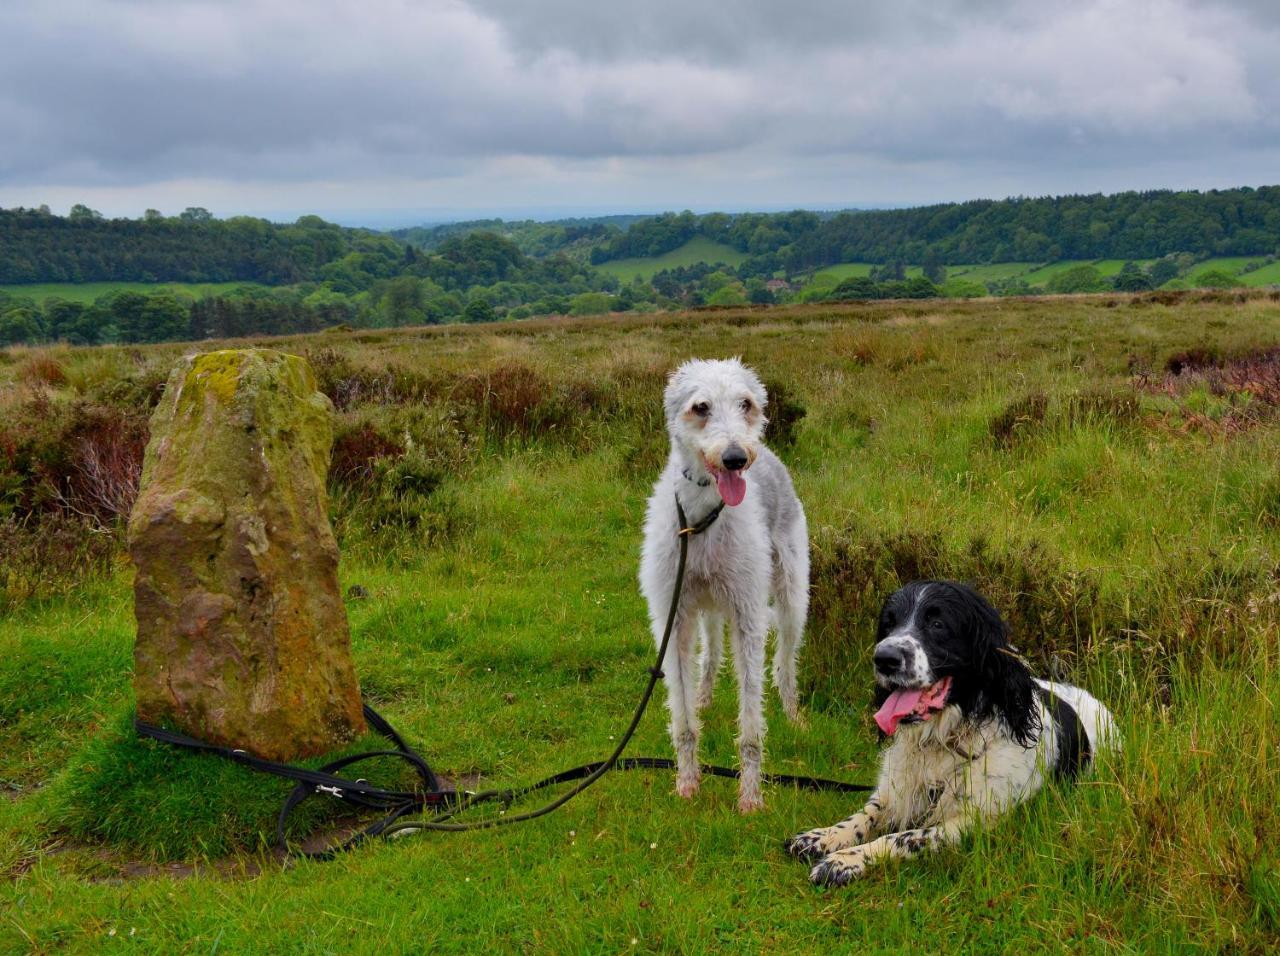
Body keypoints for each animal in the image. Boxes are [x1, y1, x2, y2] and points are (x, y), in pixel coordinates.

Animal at [640, 358, 808, 813]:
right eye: (700, 407)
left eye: (746, 403)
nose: (736, 458)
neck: (701, 521)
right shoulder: (674, 618)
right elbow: (683, 721)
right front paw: (687, 783)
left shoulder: (748, 617)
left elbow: (751, 726)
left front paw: (750, 796)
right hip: (707, 608)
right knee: (711, 654)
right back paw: (703, 696)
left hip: (791, 599)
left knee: (785, 663)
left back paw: (793, 714)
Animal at [783, 583, 1116, 890]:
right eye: (889, 623)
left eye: (938, 624)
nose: (884, 658)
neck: (944, 739)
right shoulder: (896, 789)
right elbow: (865, 814)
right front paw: (823, 836)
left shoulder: (972, 822)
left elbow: (903, 838)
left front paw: (846, 860)